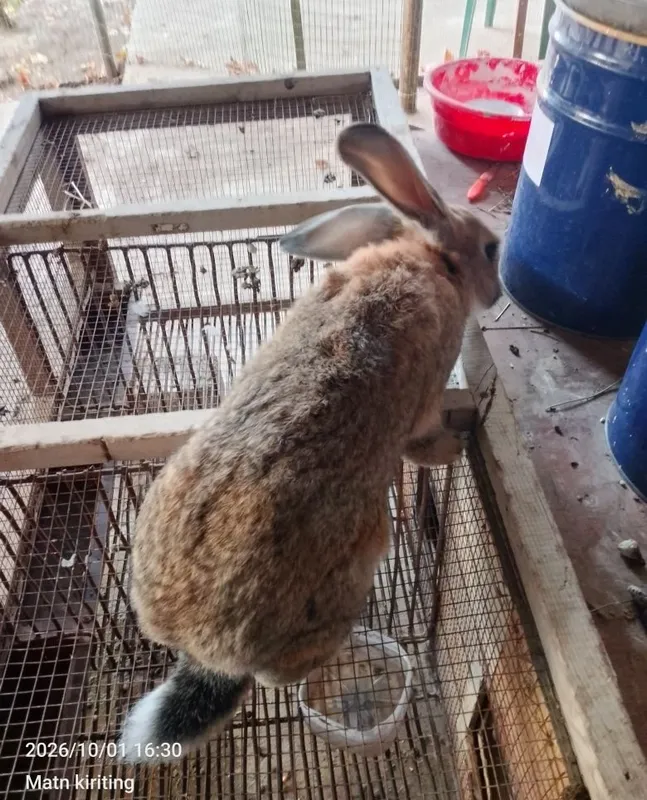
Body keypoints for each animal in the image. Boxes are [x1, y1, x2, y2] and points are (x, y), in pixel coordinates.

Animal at [118, 122, 501, 763]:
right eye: (492, 249)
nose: (497, 294)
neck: (431, 257)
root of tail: (208, 648)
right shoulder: (422, 409)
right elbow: (422, 440)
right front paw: (453, 447)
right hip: (349, 576)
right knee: (282, 673)